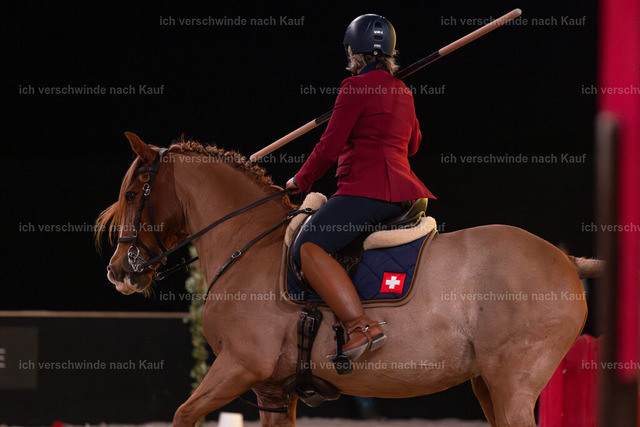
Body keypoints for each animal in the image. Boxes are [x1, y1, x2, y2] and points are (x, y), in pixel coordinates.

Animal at [96, 132, 601, 427]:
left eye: (131, 193)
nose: (118, 271)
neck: (250, 244)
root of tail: (564, 259)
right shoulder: (273, 390)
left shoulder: (239, 366)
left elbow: (183, 414)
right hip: (488, 385)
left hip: (512, 387)